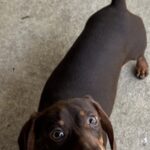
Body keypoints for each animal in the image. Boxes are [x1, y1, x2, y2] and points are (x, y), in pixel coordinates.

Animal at [18, 0, 148, 149]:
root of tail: (118, 7)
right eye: (57, 134)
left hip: (136, 47)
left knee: (141, 54)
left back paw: (142, 66)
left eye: (92, 120)